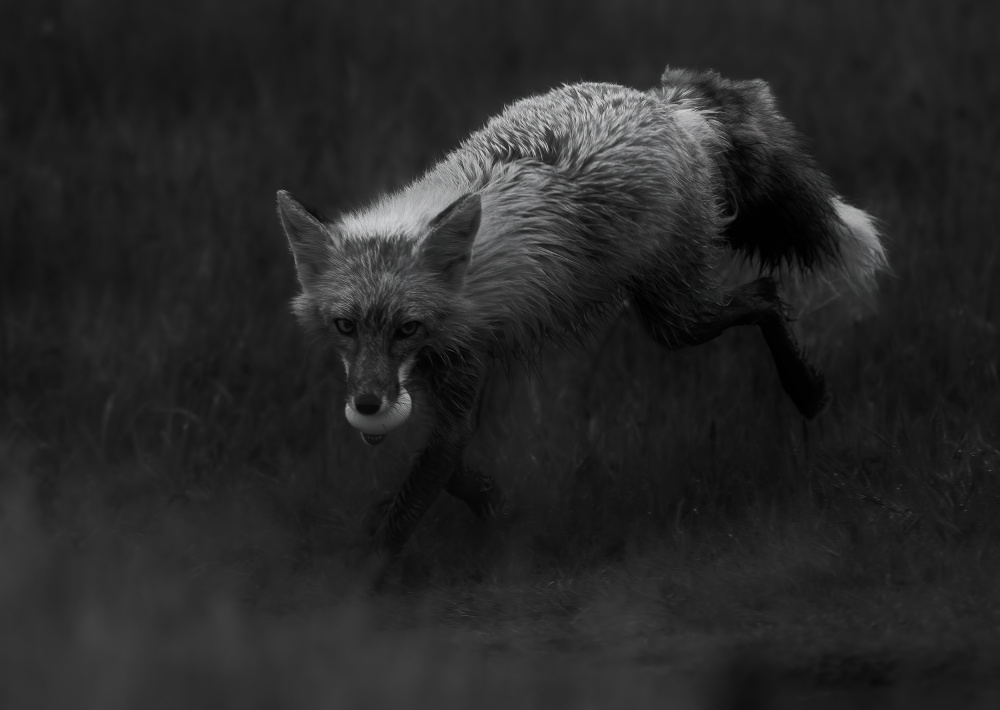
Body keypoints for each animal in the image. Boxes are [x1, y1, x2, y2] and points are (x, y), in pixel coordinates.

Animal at [277, 67, 887, 572]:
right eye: (346, 326)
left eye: (407, 327)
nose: (367, 405)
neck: (464, 278)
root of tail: (665, 103)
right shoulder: (438, 378)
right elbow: (444, 469)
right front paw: (484, 497)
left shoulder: (457, 371)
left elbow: (420, 490)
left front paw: (363, 584)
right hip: (673, 312)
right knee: (765, 292)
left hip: (676, 321)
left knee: (766, 294)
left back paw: (806, 389)